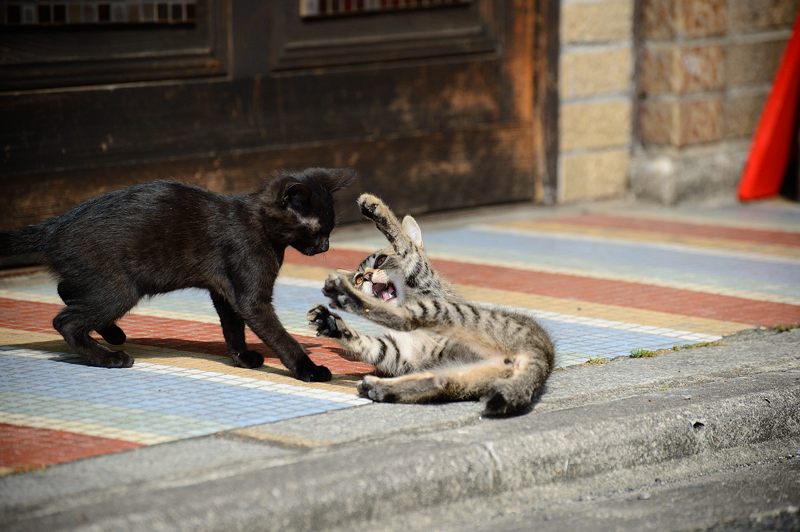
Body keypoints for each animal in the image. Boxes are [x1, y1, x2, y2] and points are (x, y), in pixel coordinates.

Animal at [0, 168, 352, 380]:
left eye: (330, 229)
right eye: (317, 229)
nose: (326, 245)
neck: (259, 225)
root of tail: (55, 226)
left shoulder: (225, 292)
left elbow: (233, 327)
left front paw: (242, 357)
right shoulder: (250, 296)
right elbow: (278, 335)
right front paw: (308, 369)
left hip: (99, 283)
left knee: (66, 291)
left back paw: (113, 334)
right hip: (119, 289)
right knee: (66, 321)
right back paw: (111, 357)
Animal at [308, 192, 556, 416]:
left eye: (380, 260)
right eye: (359, 279)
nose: (367, 276)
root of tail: (542, 355)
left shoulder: (421, 277)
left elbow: (404, 243)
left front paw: (376, 207)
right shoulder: (400, 351)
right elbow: (370, 344)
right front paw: (332, 325)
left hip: (446, 312)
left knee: (406, 318)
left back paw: (343, 295)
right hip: (462, 372)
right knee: (438, 382)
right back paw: (379, 387)